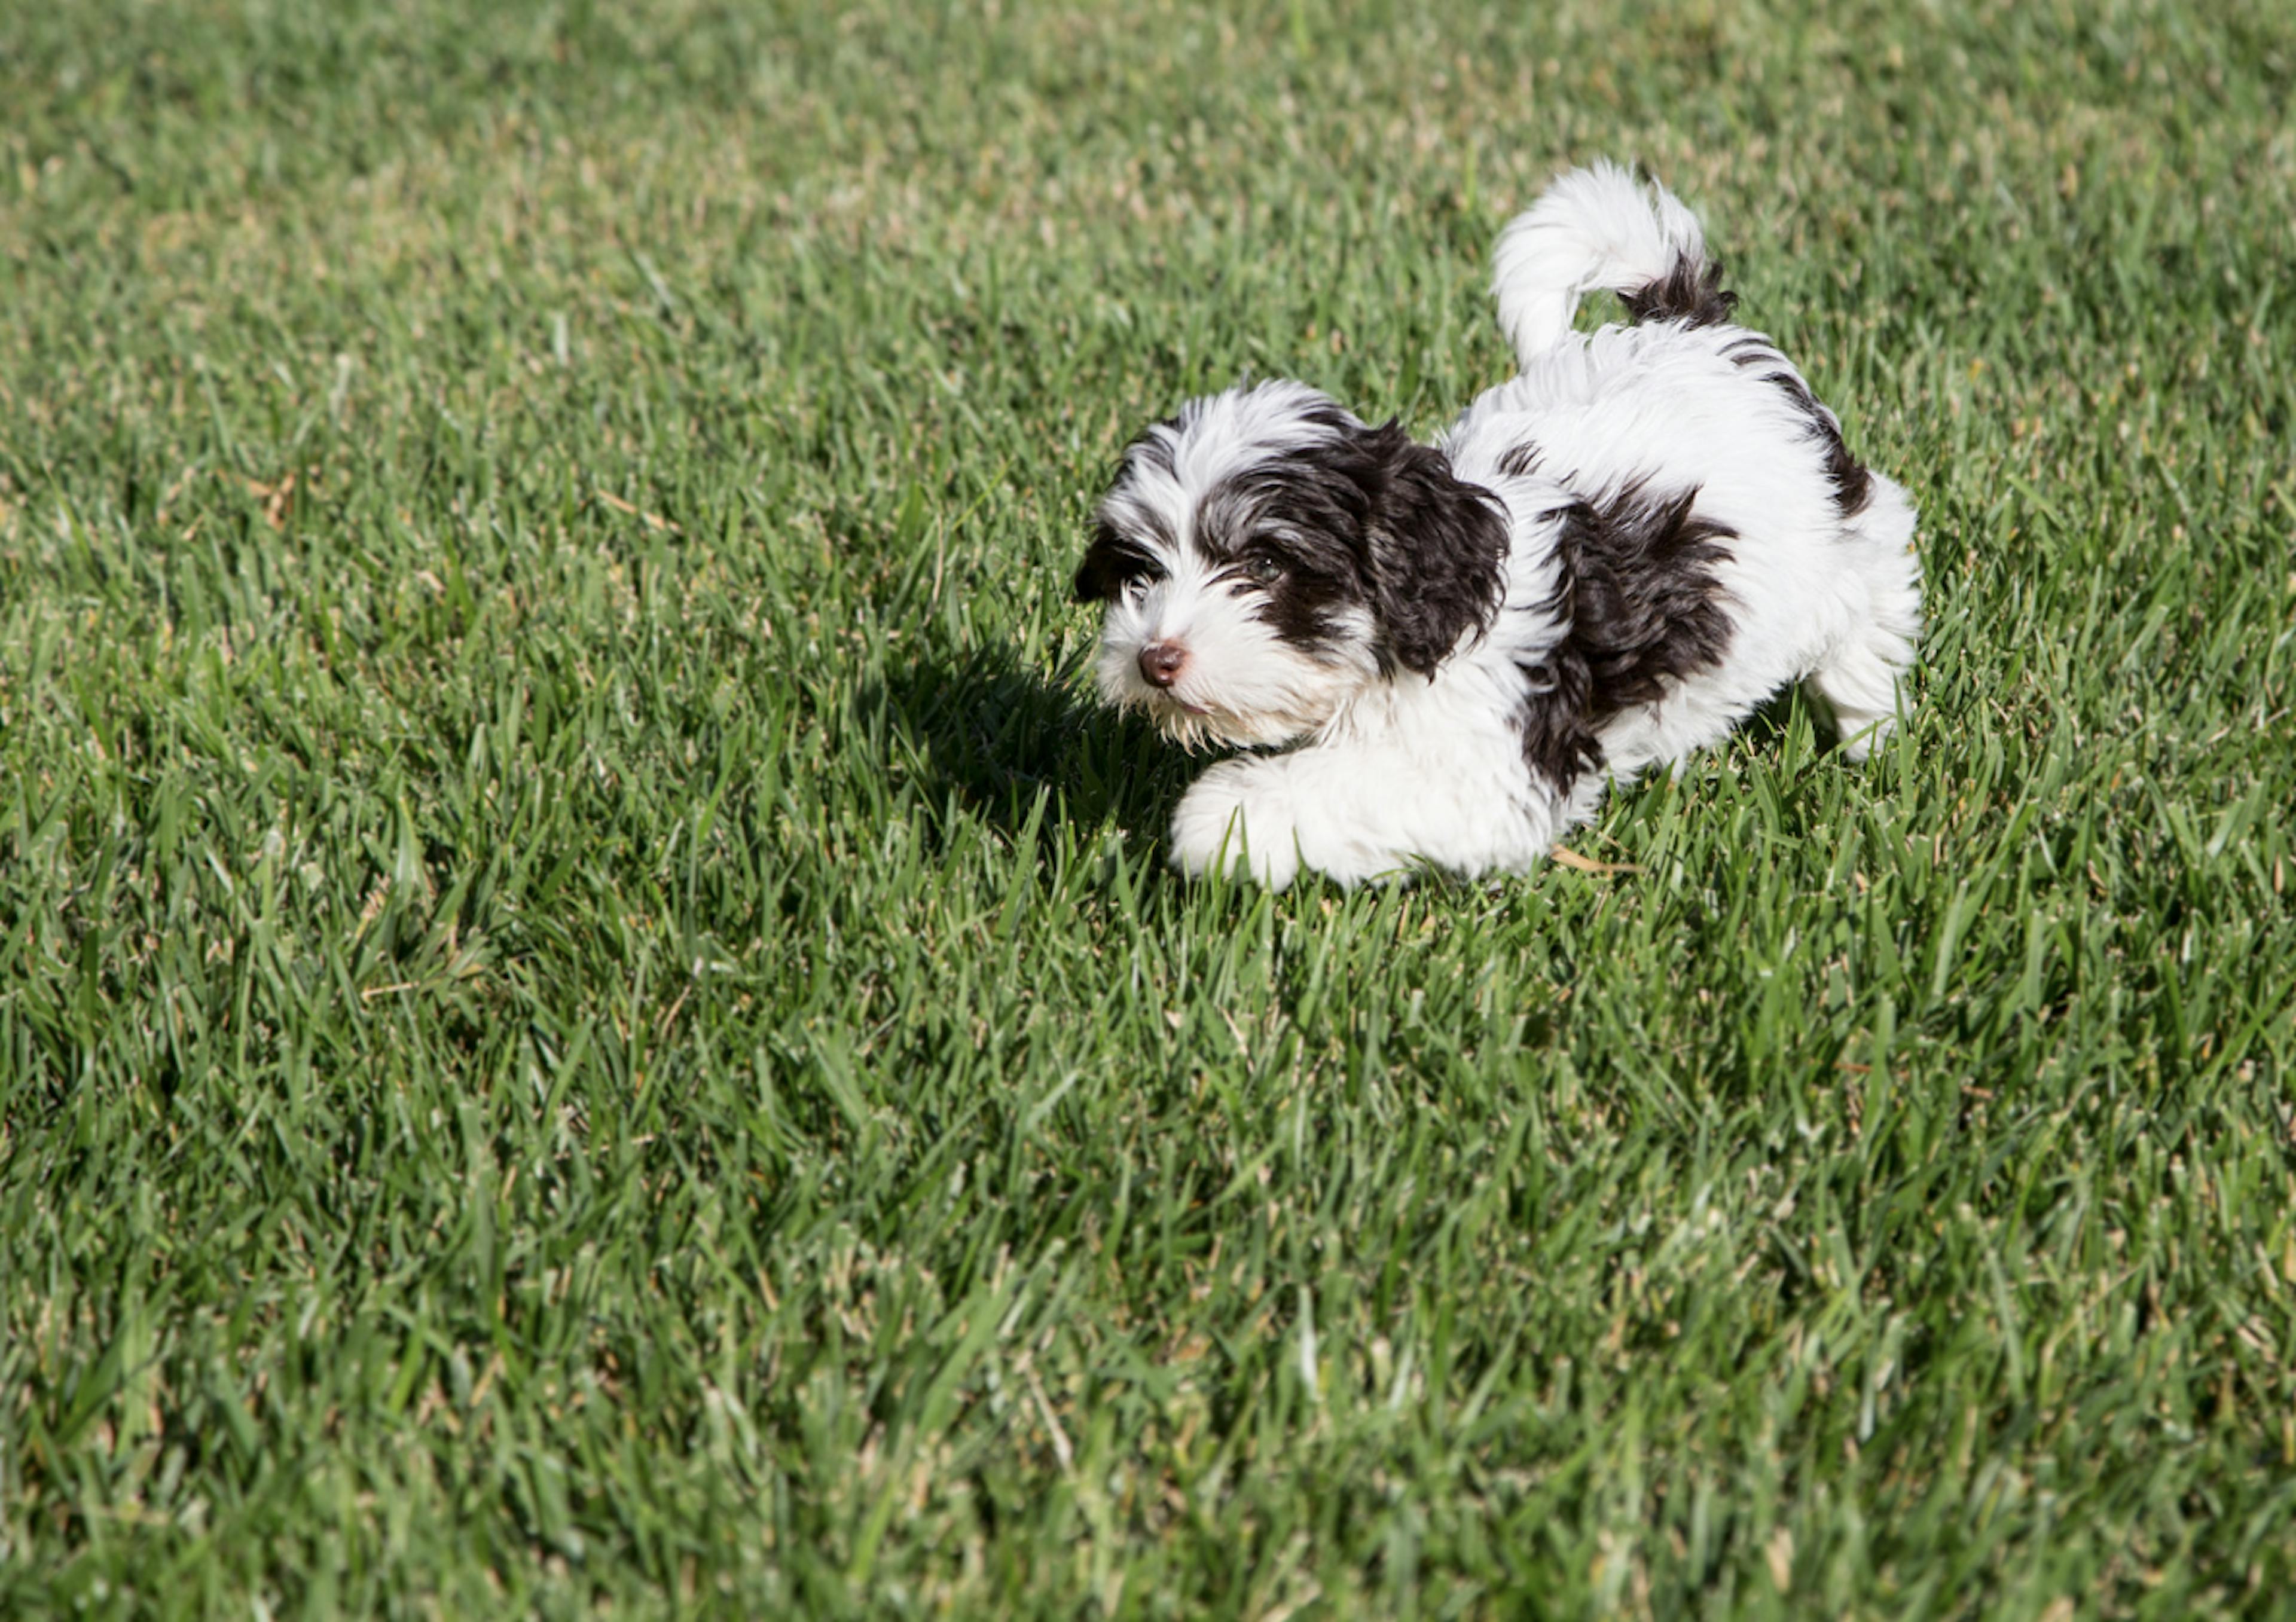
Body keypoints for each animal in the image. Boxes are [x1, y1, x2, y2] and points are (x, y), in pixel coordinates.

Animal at [1074, 165, 1919, 890]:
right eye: (1142, 571)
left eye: (1265, 567)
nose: (1155, 659)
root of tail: (1689, 324)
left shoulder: (1493, 765)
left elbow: (1348, 786)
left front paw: (1221, 819)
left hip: (1829, 538)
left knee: (1876, 574)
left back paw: (1869, 719)